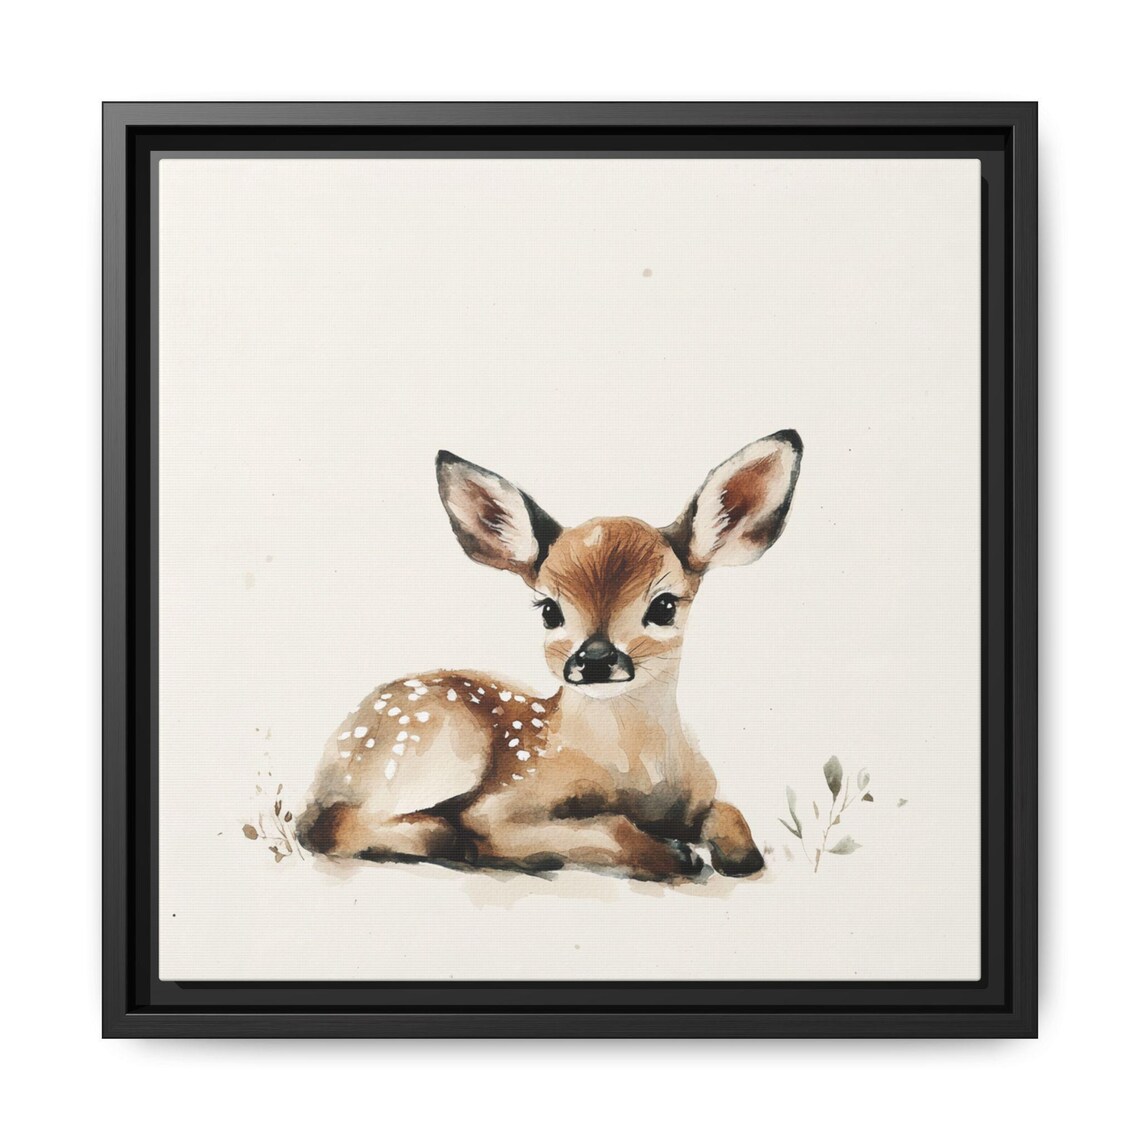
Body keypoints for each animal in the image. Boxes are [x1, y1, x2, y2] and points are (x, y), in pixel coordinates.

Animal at [295, 430, 803, 881]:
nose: (594, 659)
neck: (636, 777)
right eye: (549, 610)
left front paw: (728, 853)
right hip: (442, 743)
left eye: (664, 606)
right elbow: (606, 831)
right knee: (326, 827)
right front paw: (674, 854)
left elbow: (735, 824)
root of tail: (334, 750)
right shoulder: (502, 803)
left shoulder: (703, 796)